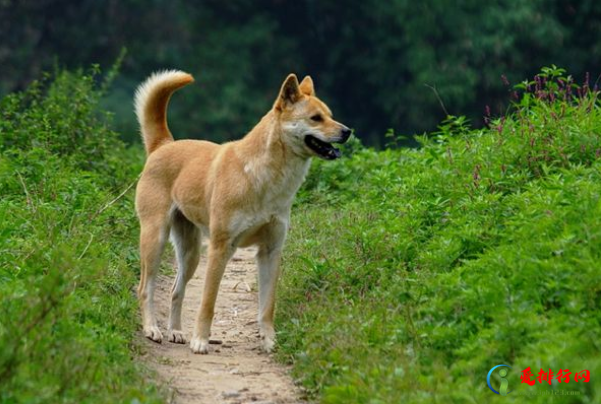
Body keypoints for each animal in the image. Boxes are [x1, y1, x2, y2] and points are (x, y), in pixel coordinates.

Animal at [134, 69, 350, 354]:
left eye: (330, 114)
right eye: (316, 118)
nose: (348, 131)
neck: (263, 178)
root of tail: (163, 145)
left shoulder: (271, 251)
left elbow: (267, 306)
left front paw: (270, 341)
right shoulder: (221, 248)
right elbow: (208, 303)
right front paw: (200, 341)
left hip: (190, 253)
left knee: (175, 291)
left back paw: (177, 332)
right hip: (155, 239)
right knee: (145, 288)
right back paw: (152, 329)